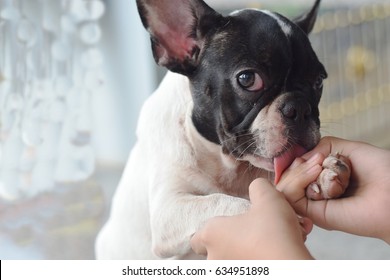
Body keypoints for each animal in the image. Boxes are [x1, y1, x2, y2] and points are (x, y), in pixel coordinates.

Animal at [95, 0, 350, 260]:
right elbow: (220, 202)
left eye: (318, 81)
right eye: (247, 79)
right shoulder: (168, 210)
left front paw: (325, 173)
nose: (299, 107)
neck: (228, 165)